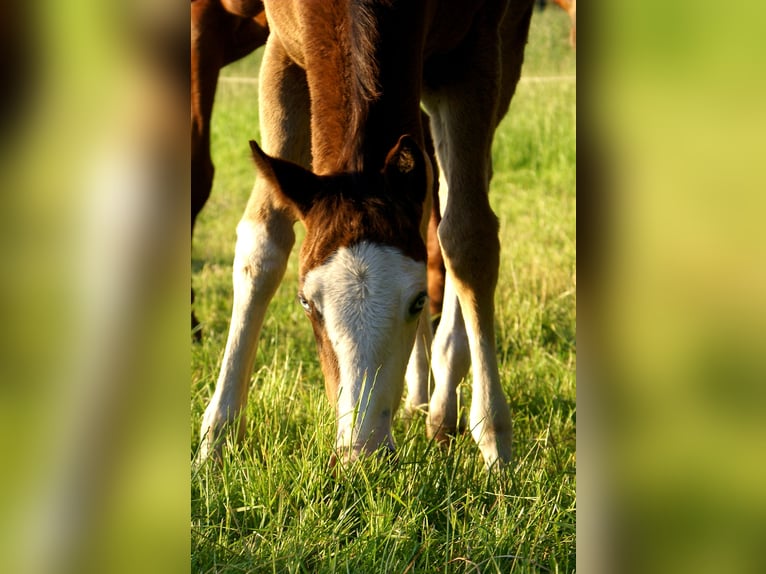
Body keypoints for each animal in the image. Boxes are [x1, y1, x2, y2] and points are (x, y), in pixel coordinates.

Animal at [198, 0, 535, 469]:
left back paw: (442, 400)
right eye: (306, 303)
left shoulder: (472, 53)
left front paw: (495, 441)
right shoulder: (285, 51)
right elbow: (262, 243)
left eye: (417, 301)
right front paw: (216, 437)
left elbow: (469, 237)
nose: (362, 451)